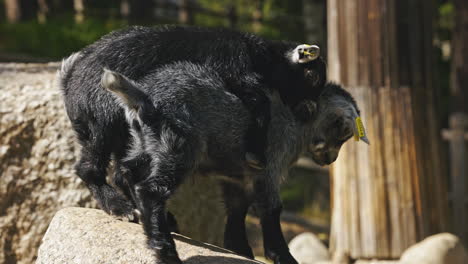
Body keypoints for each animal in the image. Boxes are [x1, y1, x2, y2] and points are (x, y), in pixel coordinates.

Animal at [59, 26, 366, 264]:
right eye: (343, 132)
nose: (331, 160)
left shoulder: (236, 178)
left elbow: (237, 211)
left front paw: (241, 250)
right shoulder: (268, 166)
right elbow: (270, 210)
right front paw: (282, 256)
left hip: (140, 144)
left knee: (124, 172)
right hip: (155, 140)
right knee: (115, 177)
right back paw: (146, 232)